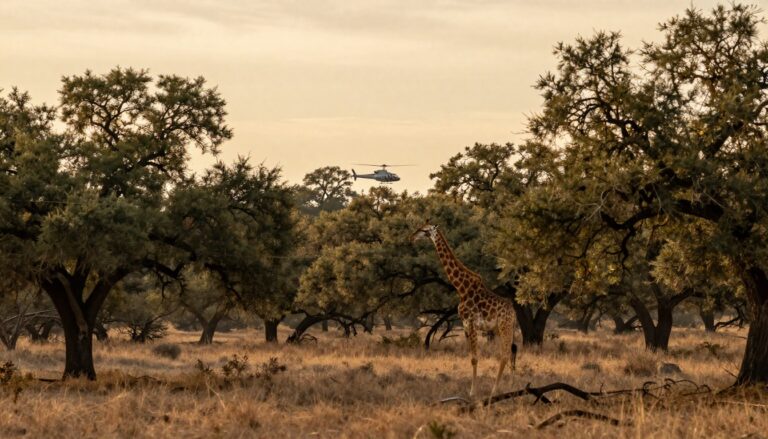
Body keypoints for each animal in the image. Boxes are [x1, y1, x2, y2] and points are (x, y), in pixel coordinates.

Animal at [411, 221, 518, 402]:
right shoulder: (466, 325)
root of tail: (513, 313)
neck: (461, 288)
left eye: (424, 230)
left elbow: (474, 358)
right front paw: (471, 391)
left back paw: (495, 391)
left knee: (505, 354)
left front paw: (472, 393)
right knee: (510, 352)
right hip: (500, 328)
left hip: (505, 327)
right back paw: (510, 387)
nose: (412, 237)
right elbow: (471, 358)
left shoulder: (471, 322)